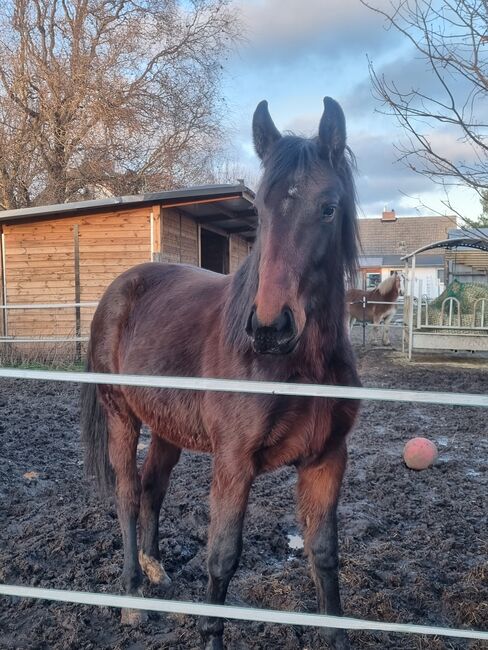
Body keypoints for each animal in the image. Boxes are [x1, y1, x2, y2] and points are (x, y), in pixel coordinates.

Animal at [81, 97, 358, 648]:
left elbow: (324, 554)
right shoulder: (234, 462)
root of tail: (119, 288)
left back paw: (155, 569)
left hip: (167, 428)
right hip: (122, 417)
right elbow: (222, 557)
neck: (301, 366)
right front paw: (210, 632)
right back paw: (132, 596)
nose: (270, 327)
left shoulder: (327, 458)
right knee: (127, 495)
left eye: (329, 208)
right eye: (262, 211)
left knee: (152, 489)